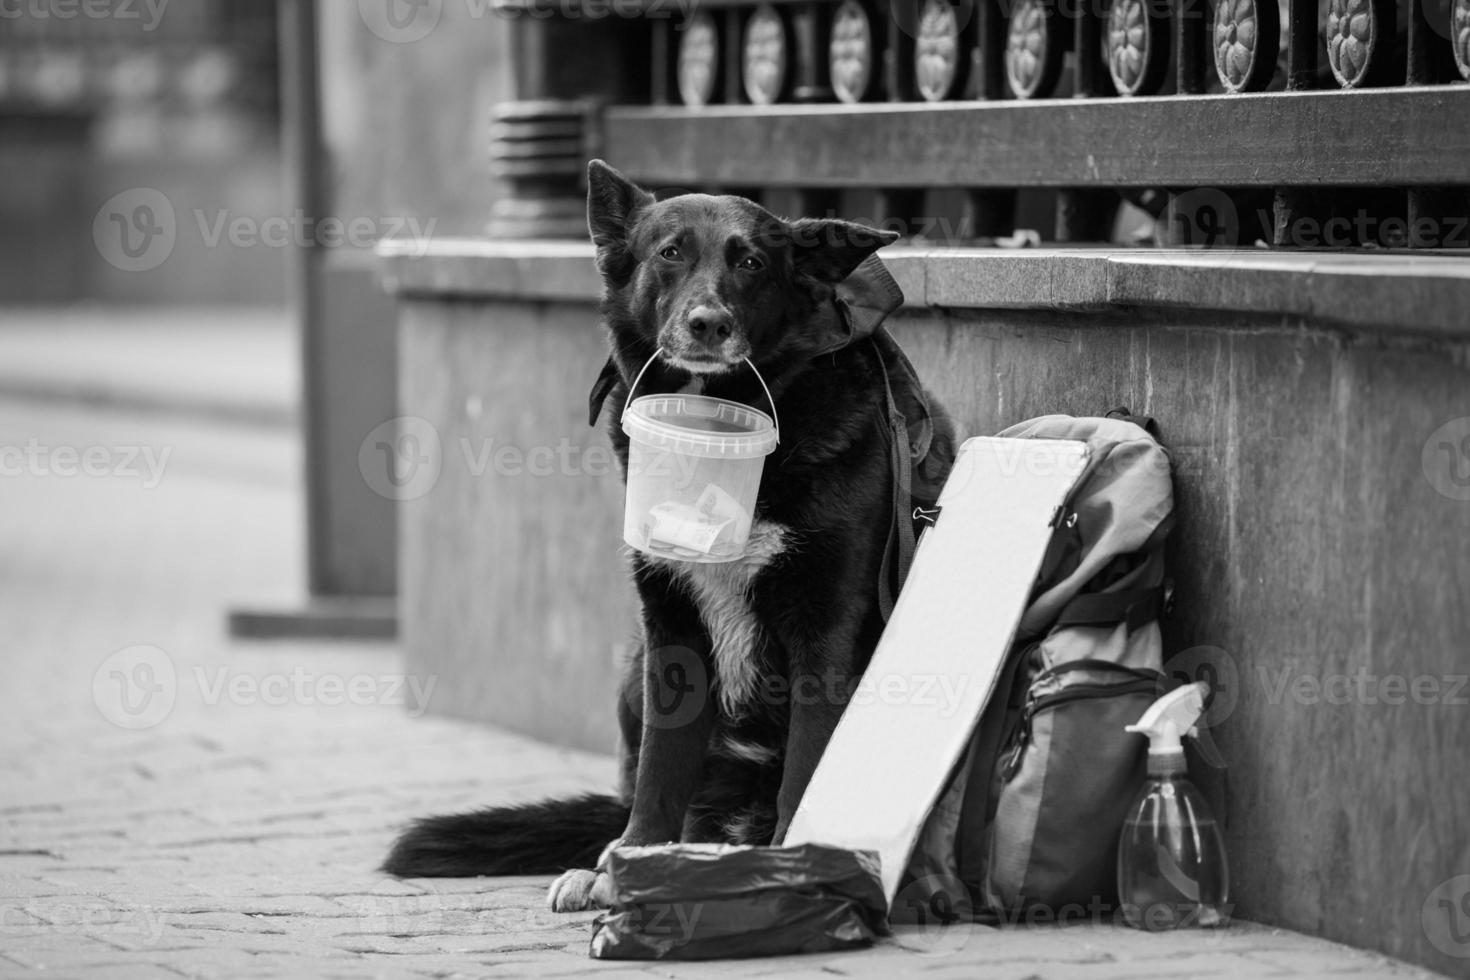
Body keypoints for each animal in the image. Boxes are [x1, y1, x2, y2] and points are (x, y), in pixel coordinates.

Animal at [382, 159, 952, 910]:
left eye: (751, 262)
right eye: (670, 253)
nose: (708, 323)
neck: (720, 434)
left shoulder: (825, 636)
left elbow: (805, 773)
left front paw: (797, 871)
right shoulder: (670, 631)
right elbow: (659, 770)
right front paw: (628, 864)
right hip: (632, 672)